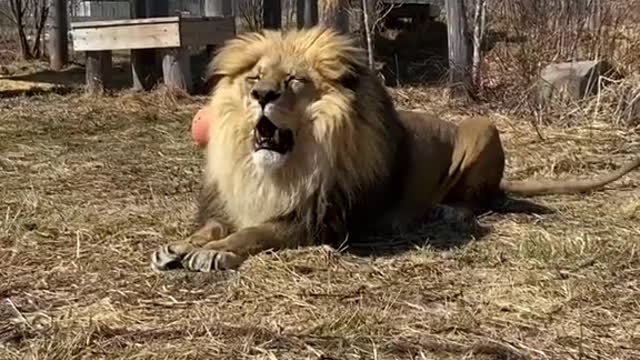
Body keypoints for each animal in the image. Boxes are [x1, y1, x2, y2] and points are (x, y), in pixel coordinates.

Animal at [151, 26, 640, 272]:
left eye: (293, 81)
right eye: (254, 77)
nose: (262, 95)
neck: (279, 167)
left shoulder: (322, 221)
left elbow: (256, 232)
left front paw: (215, 253)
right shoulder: (236, 201)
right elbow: (214, 226)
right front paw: (180, 244)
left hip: (483, 127)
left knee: (479, 199)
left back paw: (449, 210)